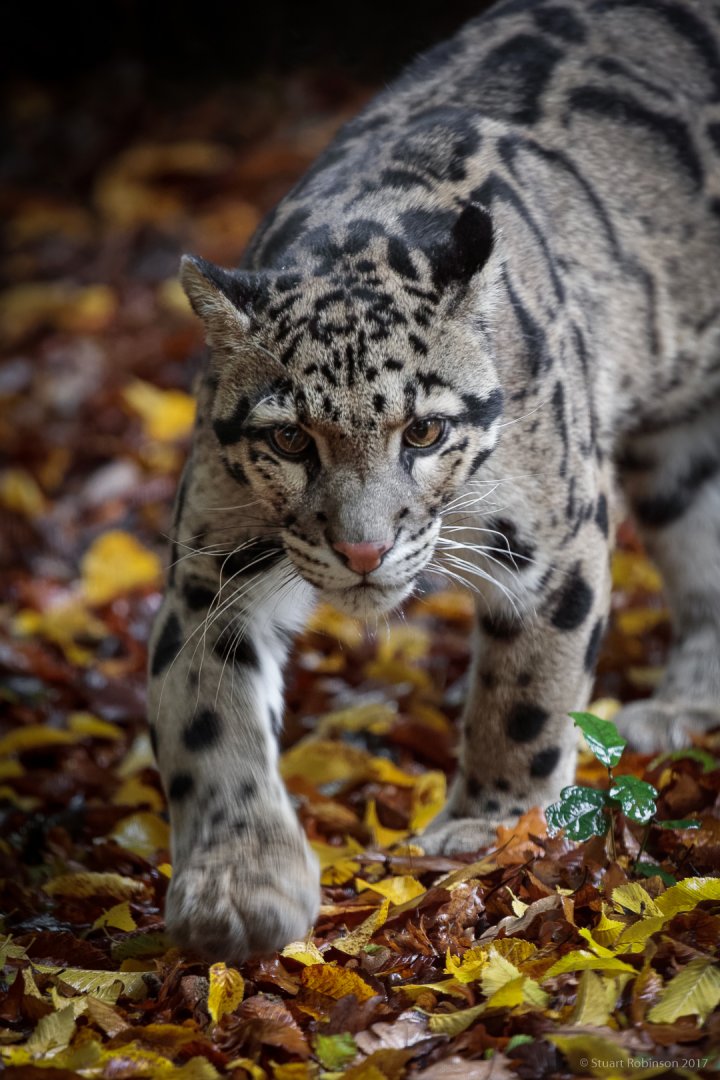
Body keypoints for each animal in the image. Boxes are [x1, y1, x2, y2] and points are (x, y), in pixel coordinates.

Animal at [148, 0, 720, 961]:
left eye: (424, 430)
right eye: (292, 439)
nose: (363, 550)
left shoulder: (557, 539)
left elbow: (527, 693)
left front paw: (488, 824)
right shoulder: (211, 568)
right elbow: (208, 720)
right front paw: (242, 884)